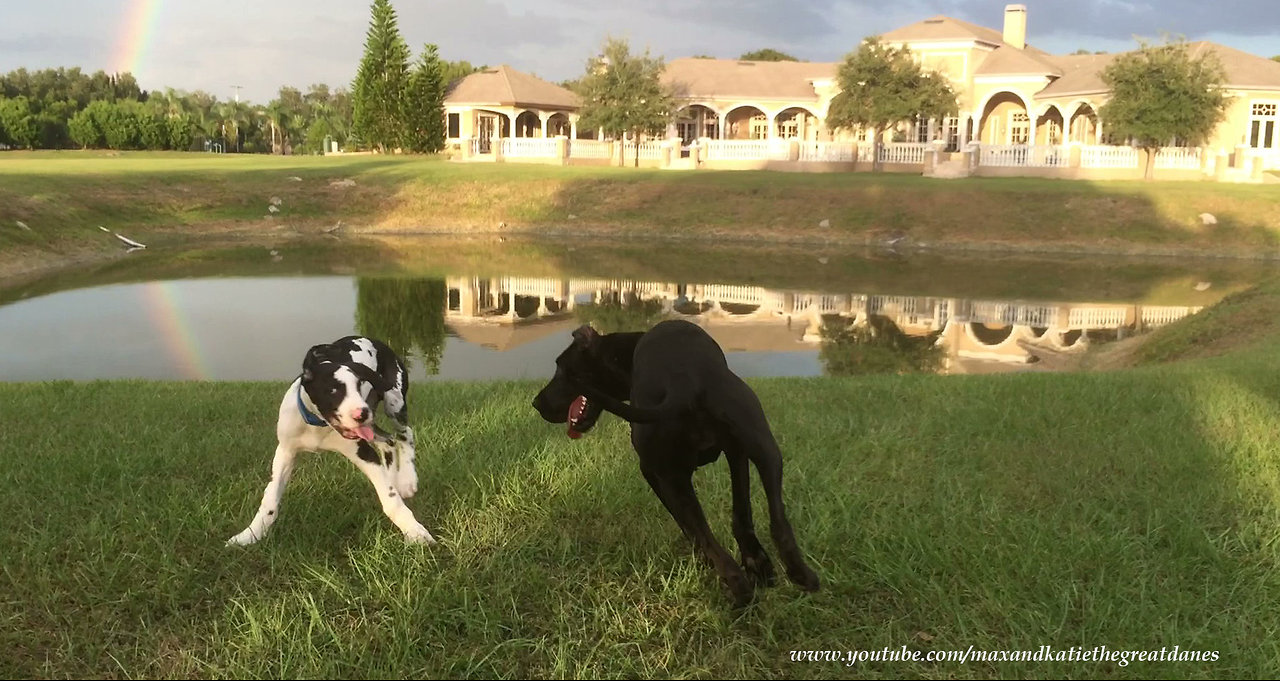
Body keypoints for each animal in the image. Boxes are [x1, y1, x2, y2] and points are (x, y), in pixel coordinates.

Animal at [225, 337, 435, 545]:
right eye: (333, 390)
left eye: (359, 386)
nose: (362, 413)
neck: (317, 424)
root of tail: (378, 342)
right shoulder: (285, 453)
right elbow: (270, 499)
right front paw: (250, 534)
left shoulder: (364, 453)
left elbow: (391, 500)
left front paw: (415, 532)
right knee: (388, 441)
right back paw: (394, 476)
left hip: (394, 402)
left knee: (405, 434)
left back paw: (407, 480)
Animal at [532, 318, 819, 606]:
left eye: (561, 367)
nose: (536, 403)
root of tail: (683, 382)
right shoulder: (736, 452)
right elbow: (741, 513)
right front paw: (757, 563)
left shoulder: (652, 472)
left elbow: (691, 529)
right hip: (765, 448)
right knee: (776, 519)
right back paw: (792, 573)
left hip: (672, 476)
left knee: (708, 540)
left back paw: (740, 592)